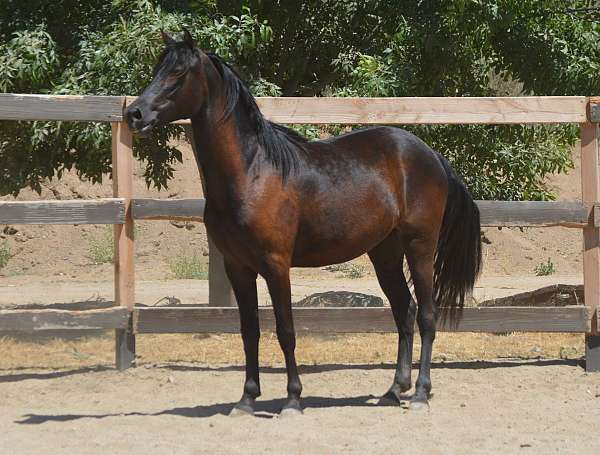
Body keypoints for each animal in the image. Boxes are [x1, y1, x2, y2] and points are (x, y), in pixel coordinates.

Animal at [126, 30, 482, 418]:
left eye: (178, 73)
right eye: (157, 68)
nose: (134, 113)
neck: (252, 172)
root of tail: (430, 154)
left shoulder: (276, 265)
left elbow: (286, 331)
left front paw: (293, 400)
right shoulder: (238, 266)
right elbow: (249, 331)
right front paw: (246, 399)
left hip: (420, 245)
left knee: (427, 315)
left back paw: (419, 393)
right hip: (384, 253)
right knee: (405, 312)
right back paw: (392, 391)